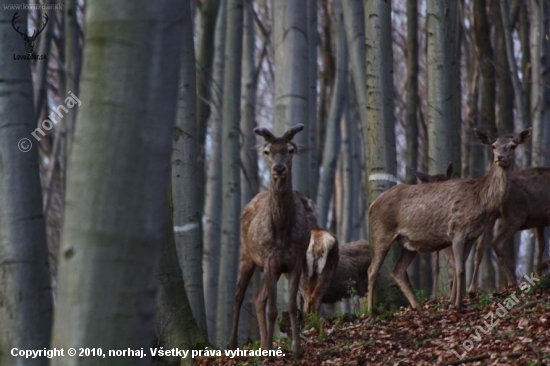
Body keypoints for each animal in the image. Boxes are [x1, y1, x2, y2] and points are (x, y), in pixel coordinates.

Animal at [225, 124, 310, 356]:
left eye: (290, 150)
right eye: (266, 151)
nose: (279, 168)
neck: (281, 231)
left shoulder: (294, 261)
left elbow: (291, 306)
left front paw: (296, 350)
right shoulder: (270, 260)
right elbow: (272, 309)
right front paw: (271, 353)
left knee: (258, 297)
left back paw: (263, 344)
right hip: (247, 255)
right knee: (239, 294)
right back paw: (232, 344)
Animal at [368, 129, 532, 312]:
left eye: (512, 146)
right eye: (494, 146)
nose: (500, 157)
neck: (480, 198)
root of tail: (372, 205)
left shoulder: (471, 236)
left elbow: (460, 267)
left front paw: (455, 302)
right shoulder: (457, 230)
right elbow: (459, 269)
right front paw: (458, 305)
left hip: (408, 243)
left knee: (397, 271)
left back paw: (417, 306)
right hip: (381, 232)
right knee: (372, 270)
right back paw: (370, 311)